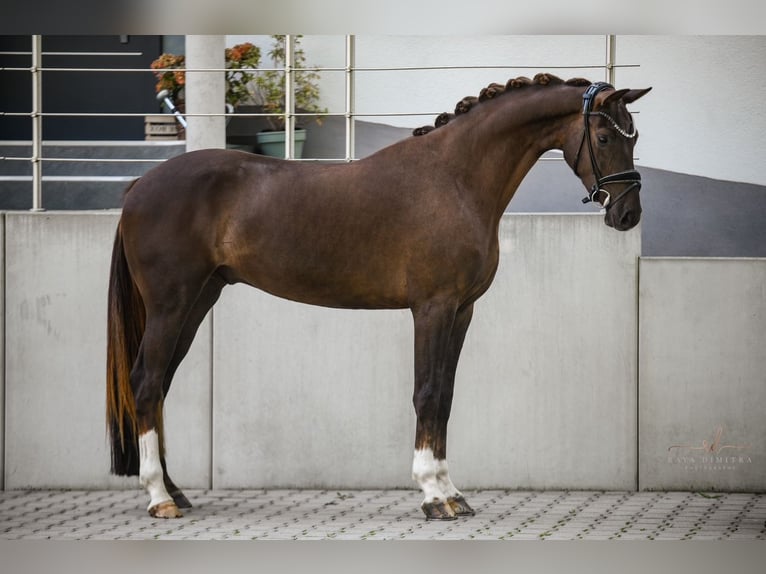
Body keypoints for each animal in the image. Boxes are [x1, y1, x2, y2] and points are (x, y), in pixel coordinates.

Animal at [105, 73, 652, 520]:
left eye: (634, 136)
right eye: (605, 137)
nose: (628, 214)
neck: (454, 178)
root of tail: (139, 186)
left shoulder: (462, 311)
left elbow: (445, 396)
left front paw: (452, 492)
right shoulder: (432, 308)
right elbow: (426, 392)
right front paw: (433, 495)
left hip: (197, 302)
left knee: (159, 385)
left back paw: (175, 491)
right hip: (171, 306)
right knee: (146, 382)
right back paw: (159, 499)